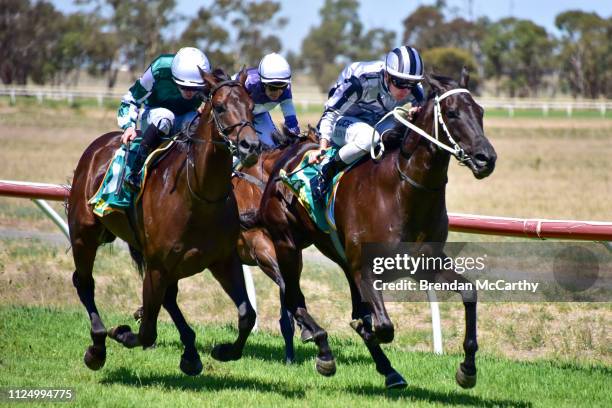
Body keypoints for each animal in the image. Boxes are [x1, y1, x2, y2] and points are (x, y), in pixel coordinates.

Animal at [68, 67, 262, 376]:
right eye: (220, 107)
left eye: (252, 107)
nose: (250, 145)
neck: (199, 193)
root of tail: (98, 146)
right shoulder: (158, 265)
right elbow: (147, 331)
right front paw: (121, 332)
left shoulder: (223, 259)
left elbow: (247, 315)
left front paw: (223, 351)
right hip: (83, 234)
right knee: (84, 282)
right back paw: (97, 347)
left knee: (169, 298)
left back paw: (191, 353)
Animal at [258, 69, 498, 388]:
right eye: (452, 113)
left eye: (480, 111)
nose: (486, 158)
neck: (401, 192)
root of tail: (285, 155)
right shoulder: (366, 269)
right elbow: (382, 326)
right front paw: (361, 330)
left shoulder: (425, 265)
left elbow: (469, 293)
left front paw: (467, 369)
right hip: (287, 243)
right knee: (294, 296)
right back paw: (323, 349)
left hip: (338, 255)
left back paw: (389, 370)